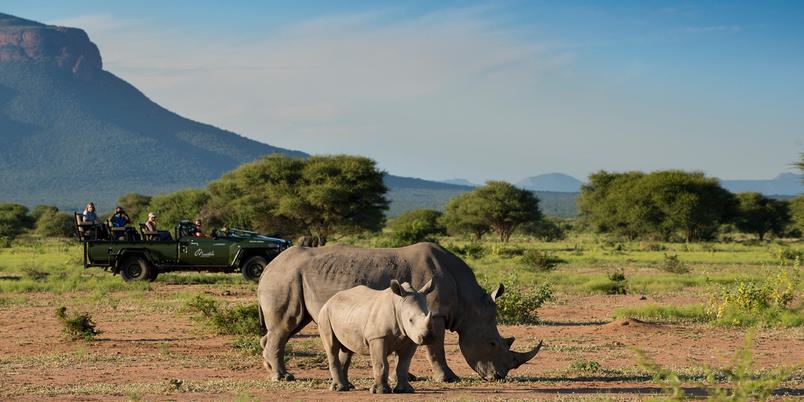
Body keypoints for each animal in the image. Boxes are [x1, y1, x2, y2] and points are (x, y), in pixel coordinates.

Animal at [257, 242, 543, 382]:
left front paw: (405, 376)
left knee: (287, 326)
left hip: (289, 277)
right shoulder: (434, 314)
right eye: (493, 343)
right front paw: (448, 379)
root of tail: (269, 266)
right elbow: (435, 350)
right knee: (285, 326)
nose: (500, 377)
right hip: (285, 277)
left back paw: (271, 370)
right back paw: (283, 377)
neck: (468, 302)